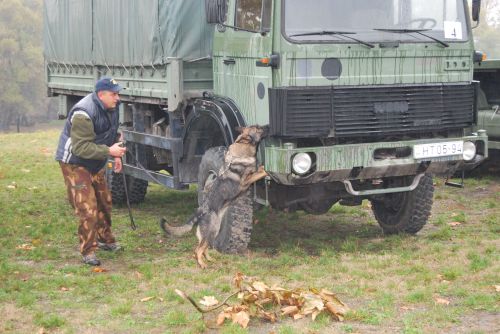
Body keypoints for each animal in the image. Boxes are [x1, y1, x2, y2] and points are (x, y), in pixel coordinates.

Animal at [160, 125, 270, 268]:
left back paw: (210, 259)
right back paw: (202, 264)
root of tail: (199, 211)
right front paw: (267, 171)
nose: (268, 126)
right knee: (197, 250)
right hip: (212, 230)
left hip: (211, 231)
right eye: (257, 128)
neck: (242, 149)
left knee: (204, 247)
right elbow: (260, 171)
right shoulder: (246, 180)